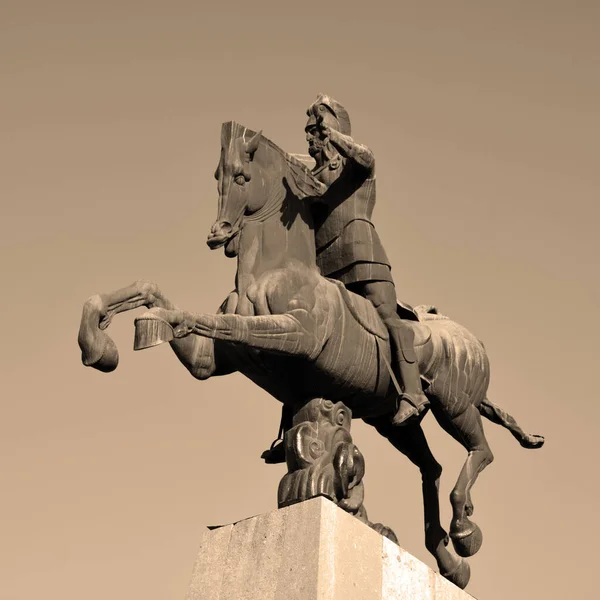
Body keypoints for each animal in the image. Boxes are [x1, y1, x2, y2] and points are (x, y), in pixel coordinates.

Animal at [78, 120, 544, 592]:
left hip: (454, 406)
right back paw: (448, 561)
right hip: (392, 423)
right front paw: (98, 340)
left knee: (481, 451)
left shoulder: (297, 335)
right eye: (216, 176)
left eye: (242, 177)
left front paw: (148, 327)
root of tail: (466, 337)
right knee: (430, 467)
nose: (217, 233)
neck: (271, 271)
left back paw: (464, 531)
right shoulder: (211, 362)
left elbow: (210, 319)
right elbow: (152, 292)